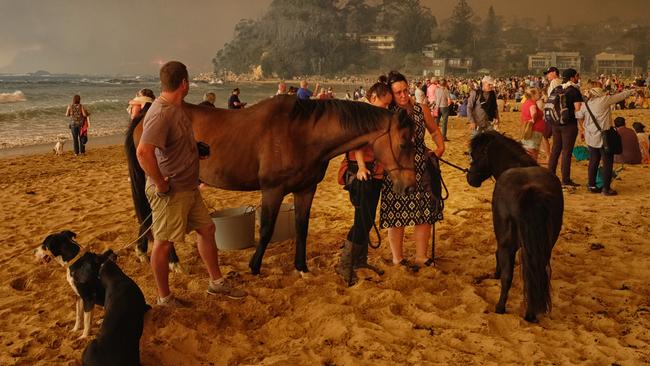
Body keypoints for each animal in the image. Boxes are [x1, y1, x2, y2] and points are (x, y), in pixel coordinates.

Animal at [126, 95, 416, 274]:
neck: (301, 133)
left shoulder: (305, 190)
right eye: (404, 144)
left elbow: (301, 228)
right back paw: (172, 262)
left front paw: (301, 268)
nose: (410, 186)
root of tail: (147, 112)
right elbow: (265, 229)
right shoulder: (272, 190)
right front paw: (254, 266)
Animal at [466, 132, 560, 324]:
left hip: (507, 243)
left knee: (508, 276)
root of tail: (530, 190)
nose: (469, 178)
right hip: (545, 245)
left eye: (475, 154)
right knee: (535, 274)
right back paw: (531, 313)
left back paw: (500, 307)